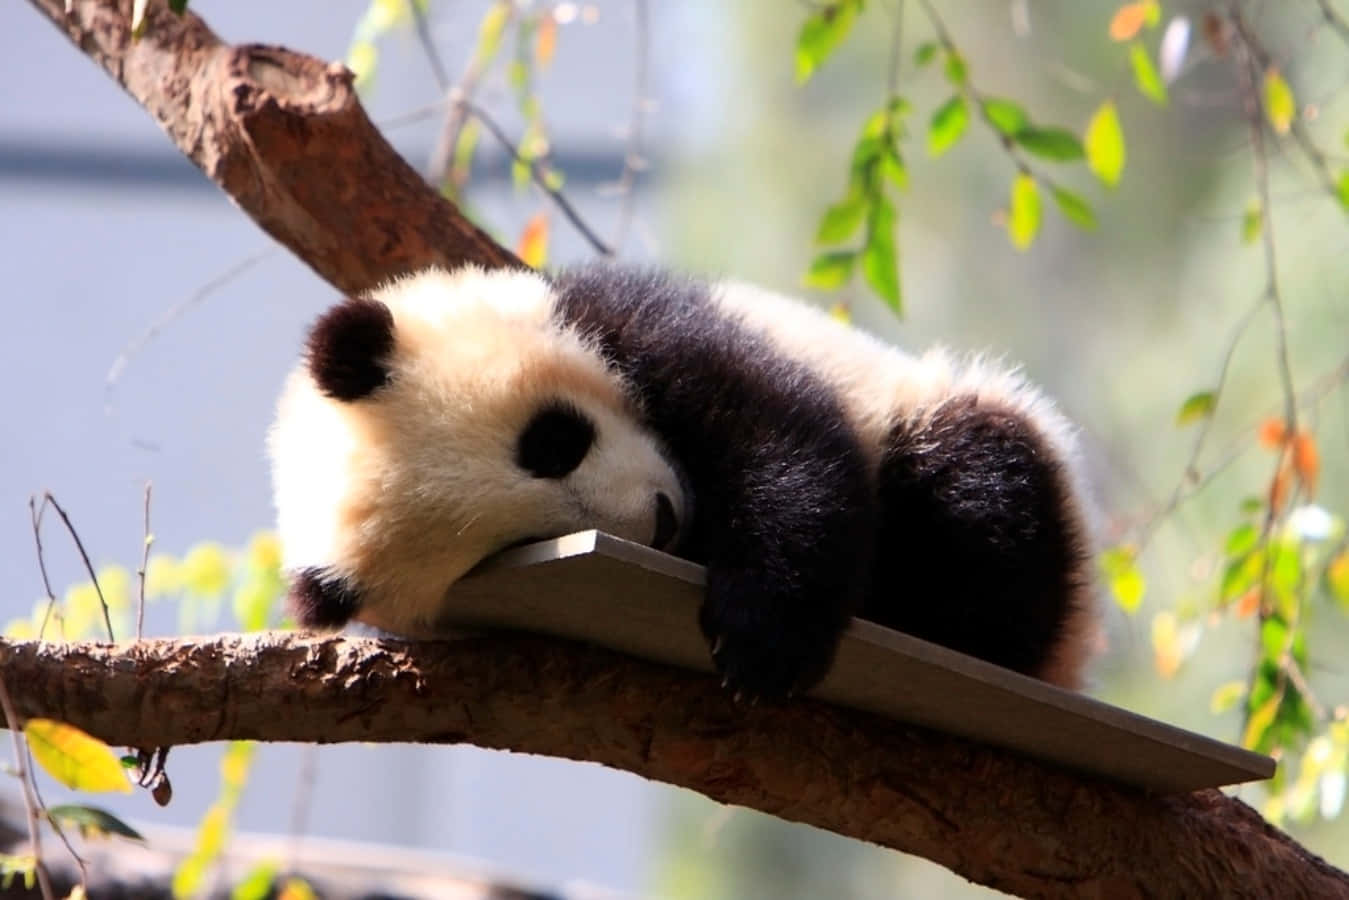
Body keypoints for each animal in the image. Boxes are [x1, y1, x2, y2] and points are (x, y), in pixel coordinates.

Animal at [268, 262, 1099, 700]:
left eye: (552, 442)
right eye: (522, 543)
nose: (663, 521)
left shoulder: (636, 320)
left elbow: (779, 436)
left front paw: (763, 641)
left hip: (944, 417)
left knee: (977, 491)